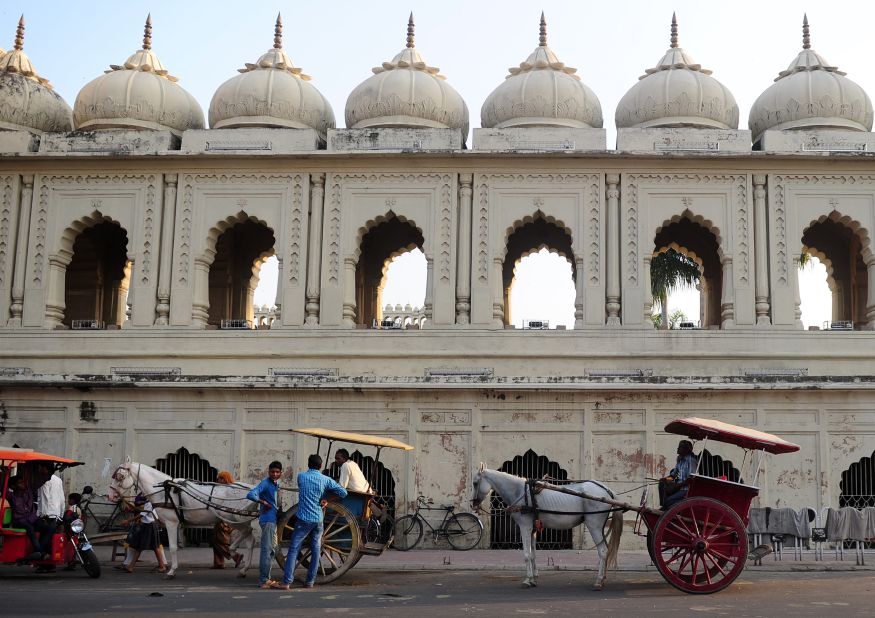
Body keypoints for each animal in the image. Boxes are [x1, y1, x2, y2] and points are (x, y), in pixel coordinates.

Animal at [108, 458, 256, 576]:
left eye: (120, 476)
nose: (110, 495)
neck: (163, 490)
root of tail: (252, 489)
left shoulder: (171, 522)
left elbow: (173, 547)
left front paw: (172, 571)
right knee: (250, 539)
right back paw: (243, 567)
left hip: (234, 518)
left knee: (248, 533)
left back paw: (235, 554)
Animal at [472, 462, 624, 588]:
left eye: (475, 483)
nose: (472, 504)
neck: (521, 492)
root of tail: (606, 490)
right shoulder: (533, 528)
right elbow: (533, 554)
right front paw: (533, 579)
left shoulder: (525, 526)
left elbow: (526, 554)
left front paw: (527, 580)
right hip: (600, 526)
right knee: (606, 550)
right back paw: (603, 578)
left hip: (594, 525)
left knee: (603, 551)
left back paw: (598, 581)